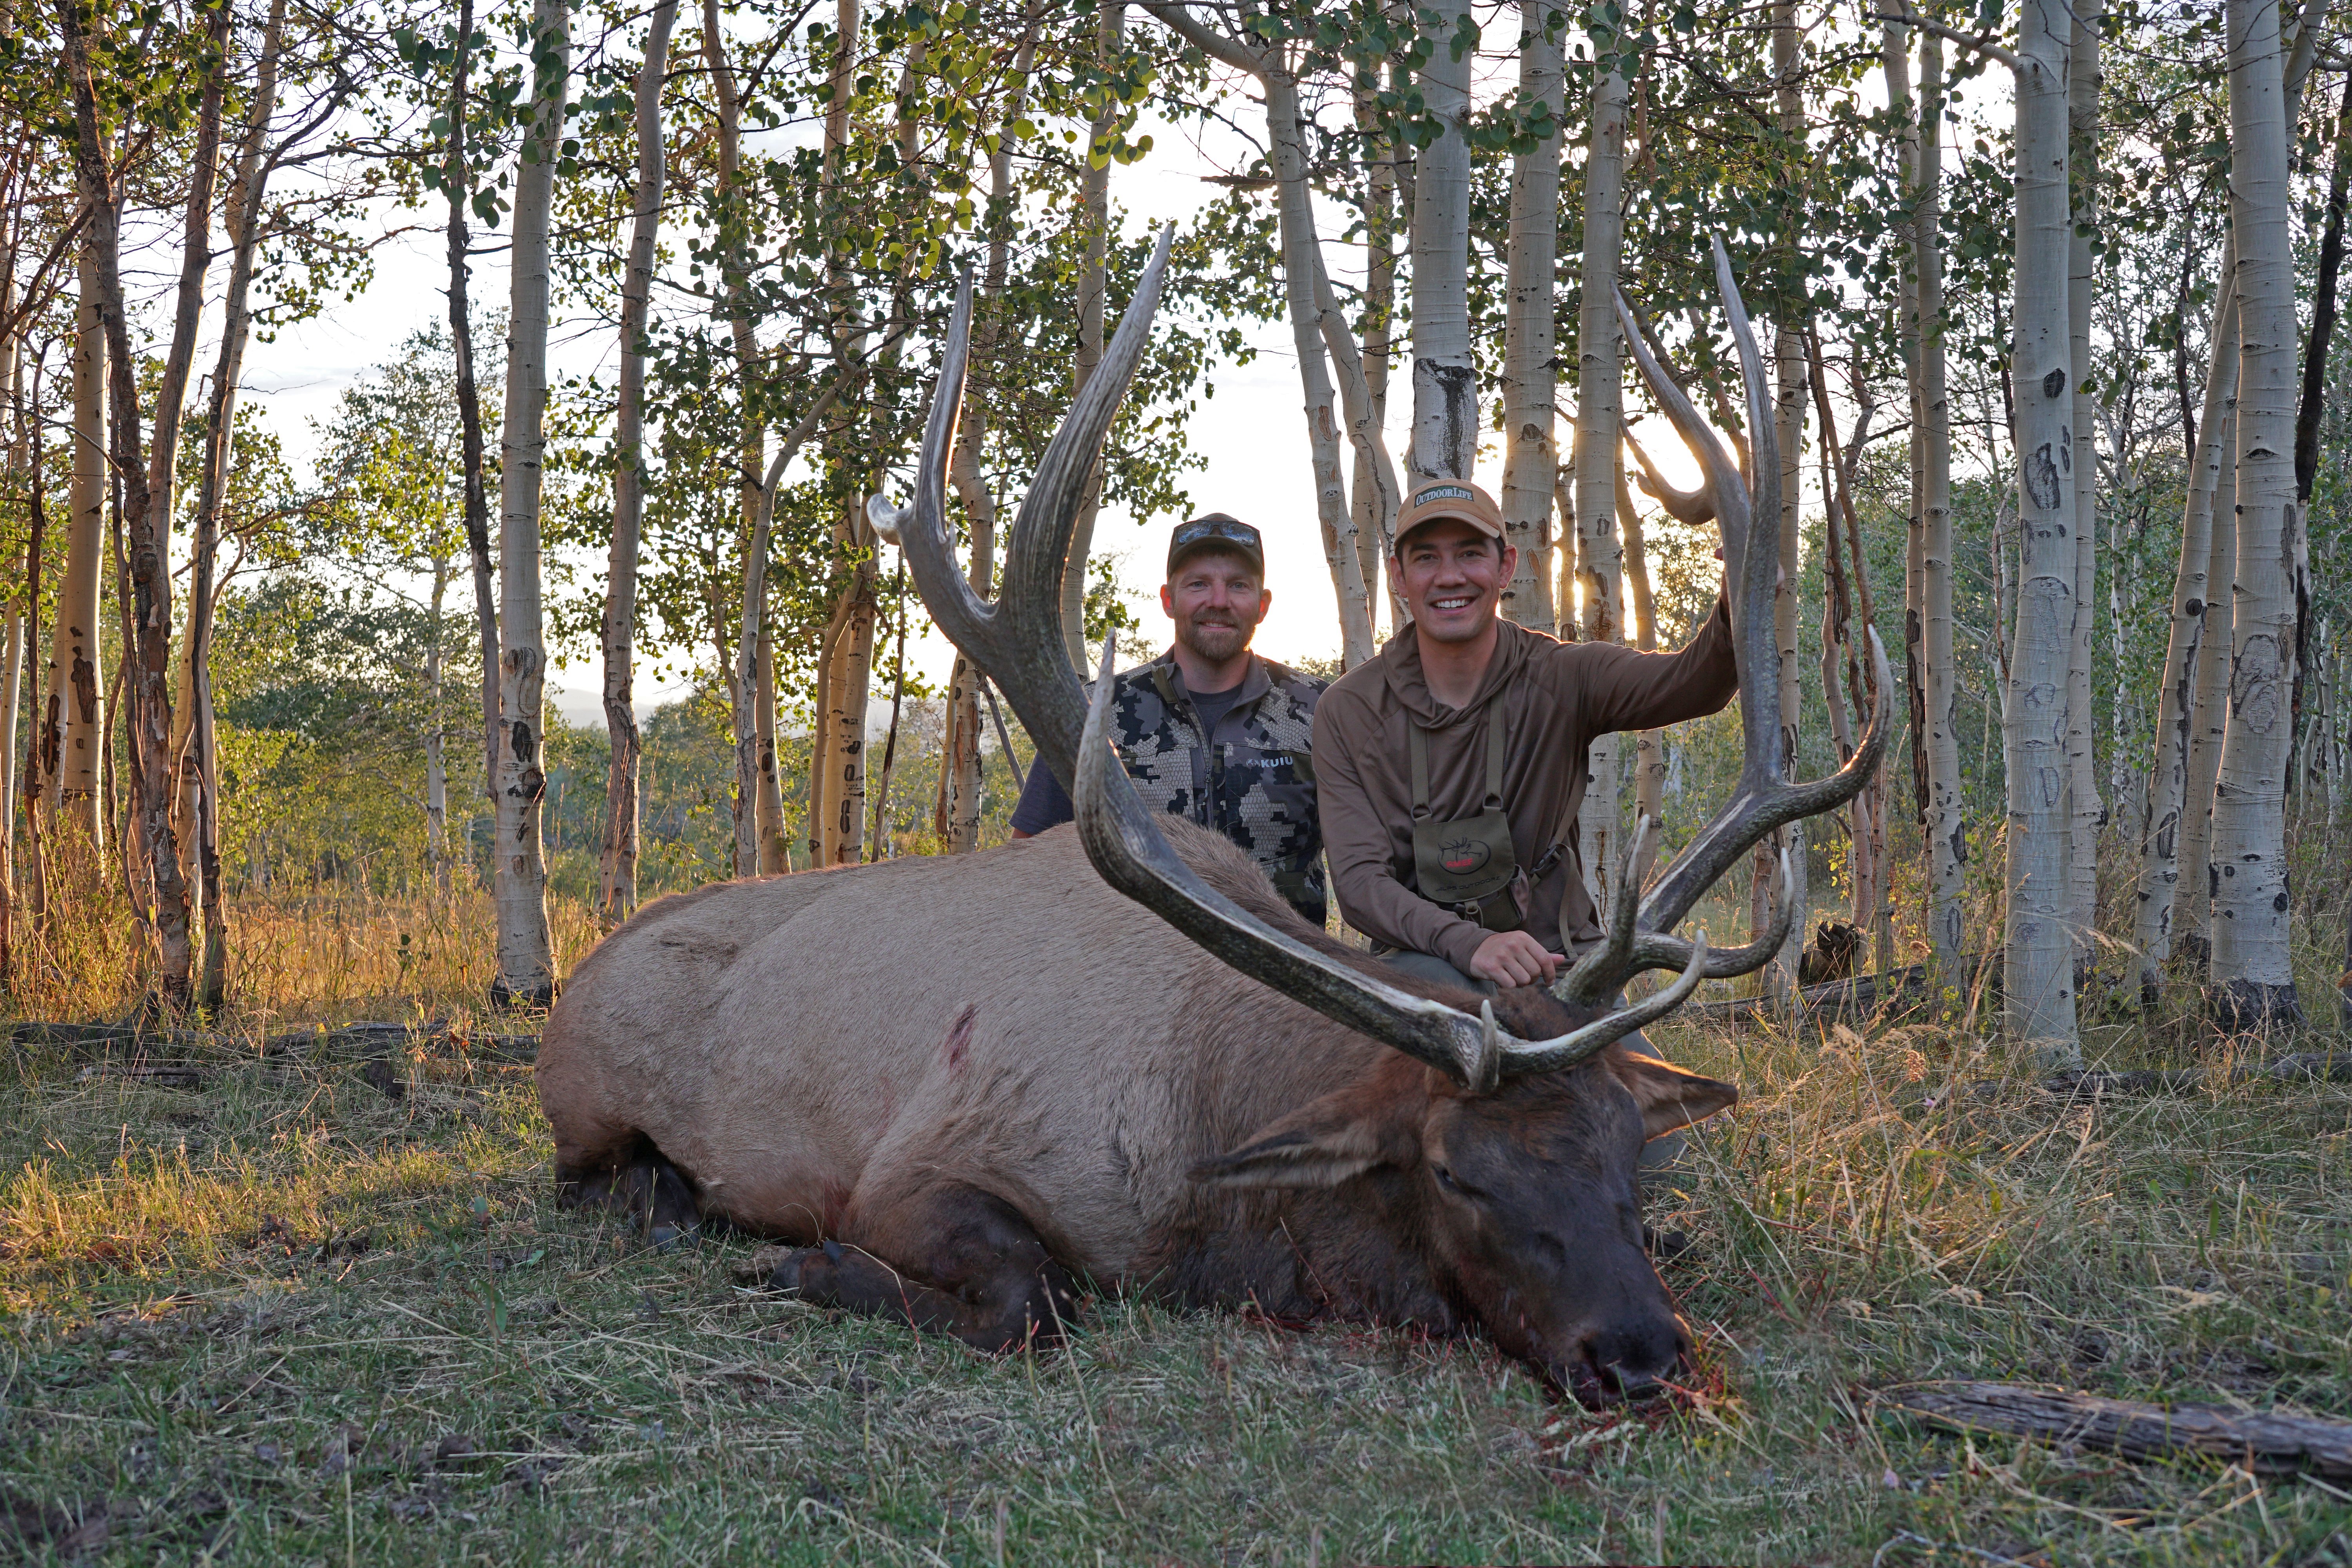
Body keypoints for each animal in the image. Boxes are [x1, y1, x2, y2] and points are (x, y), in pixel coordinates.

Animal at [534, 228, 1890, 1405]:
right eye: (1456, 1170)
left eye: (1625, 1148)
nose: (1643, 1353)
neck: (1212, 1164)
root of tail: (578, 971)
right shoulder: (908, 1167)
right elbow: (1030, 1300)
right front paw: (802, 1265)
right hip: (585, 1104)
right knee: (594, 1177)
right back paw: (667, 1204)